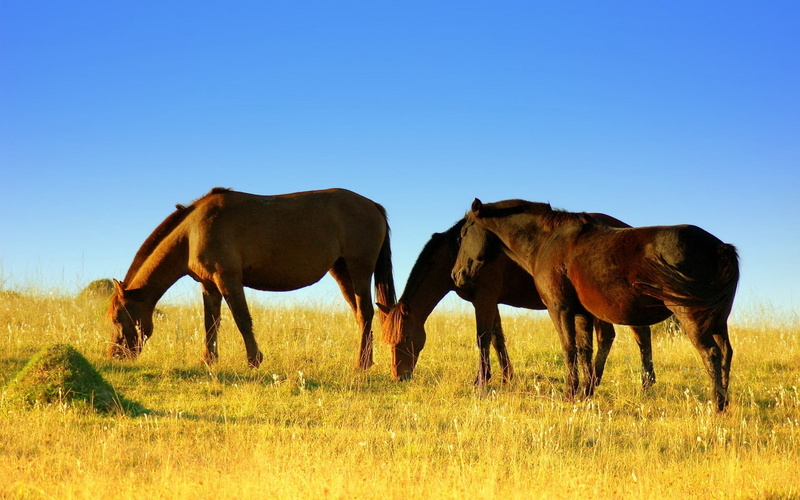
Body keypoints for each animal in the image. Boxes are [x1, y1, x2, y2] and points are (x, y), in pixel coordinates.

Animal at [107, 187, 396, 369]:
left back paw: (361, 364)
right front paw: (208, 360)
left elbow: (242, 319)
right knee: (360, 315)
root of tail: (372, 205)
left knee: (366, 312)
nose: (114, 354)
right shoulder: (209, 285)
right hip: (342, 271)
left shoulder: (228, 279)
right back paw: (366, 360)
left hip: (359, 269)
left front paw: (253, 360)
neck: (192, 232)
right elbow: (211, 323)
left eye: (117, 318)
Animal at [379, 216, 655, 390]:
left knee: (639, 335)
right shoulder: (490, 302)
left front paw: (481, 381)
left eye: (405, 338)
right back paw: (598, 381)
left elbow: (483, 338)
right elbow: (497, 338)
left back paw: (643, 383)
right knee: (608, 337)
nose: (398, 377)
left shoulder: (484, 300)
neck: (458, 253)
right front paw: (506, 377)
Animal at [452, 199, 739, 411]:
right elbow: (585, 351)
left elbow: (569, 349)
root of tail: (720, 247)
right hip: (717, 320)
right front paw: (585, 392)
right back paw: (724, 402)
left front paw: (570, 393)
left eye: (464, 233)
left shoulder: (560, 309)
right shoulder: (582, 314)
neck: (548, 241)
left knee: (711, 354)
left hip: (691, 317)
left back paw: (716, 405)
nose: (457, 275)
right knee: (725, 352)